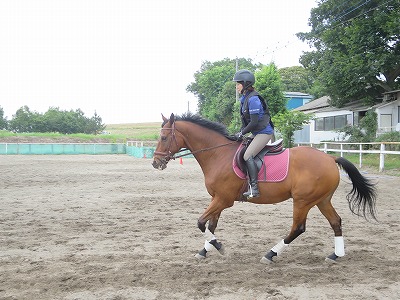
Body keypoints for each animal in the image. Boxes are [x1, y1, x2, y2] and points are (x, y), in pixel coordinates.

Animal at [152, 112, 376, 262]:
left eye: (163, 137)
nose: (155, 163)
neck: (217, 154)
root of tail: (330, 158)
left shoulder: (223, 199)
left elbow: (200, 223)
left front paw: (219, 247)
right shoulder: (217, 199)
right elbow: (211, 226)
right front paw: (205, 250)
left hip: (302, 201)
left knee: (298, 228)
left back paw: (271, 254)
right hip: (321, 200)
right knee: (335, 222)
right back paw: (336, 255)